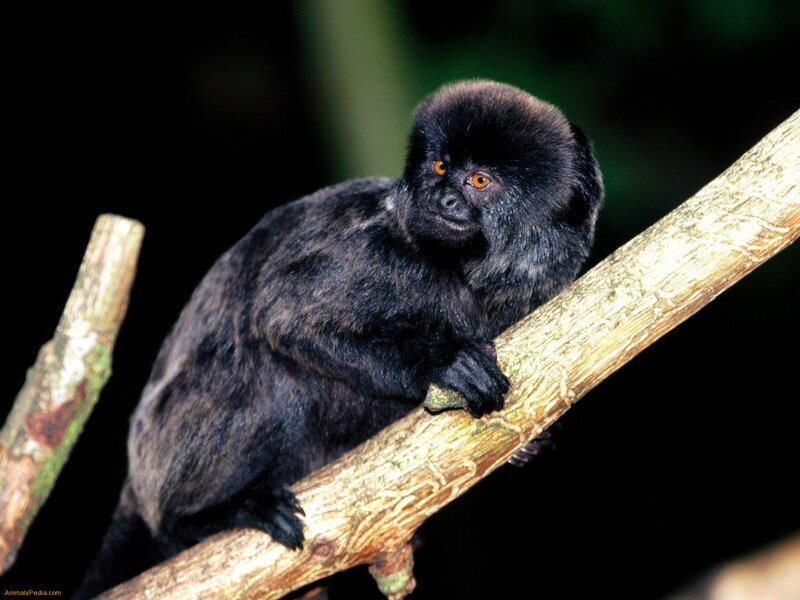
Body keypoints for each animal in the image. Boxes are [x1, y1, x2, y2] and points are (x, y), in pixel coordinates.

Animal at [75, 80, 602, 597]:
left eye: (478, 181)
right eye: (440, 167)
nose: (443, 200)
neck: (466, 275)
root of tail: (135, 482)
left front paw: (530, 444)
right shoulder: (380, 254)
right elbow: (284, 314)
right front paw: (444, 363)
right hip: (165, 447)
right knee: (267, 371)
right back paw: (206, 517)